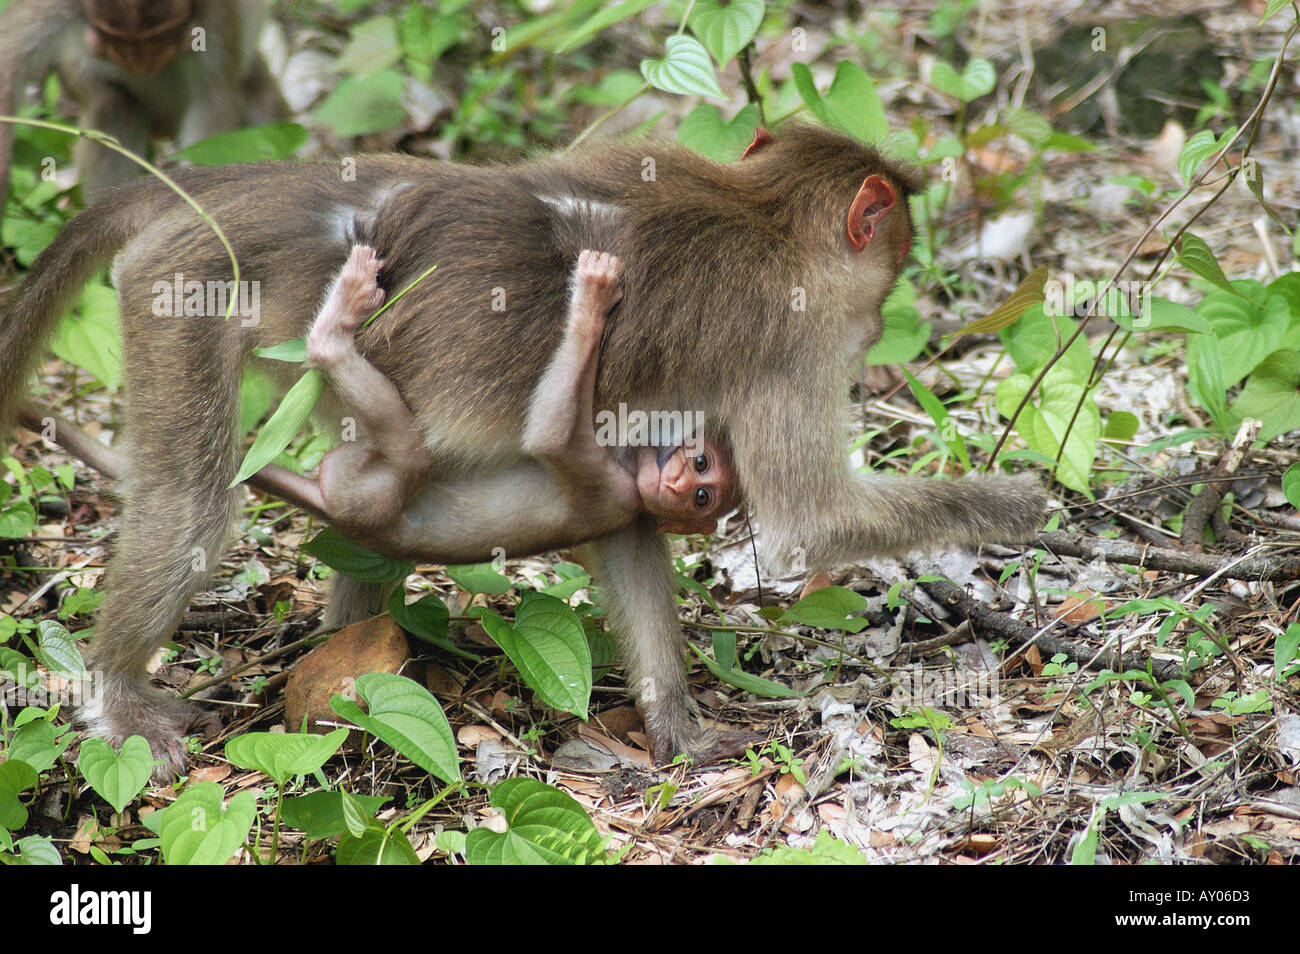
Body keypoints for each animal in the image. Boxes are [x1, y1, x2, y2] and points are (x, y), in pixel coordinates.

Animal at [0, 0, 283, 215]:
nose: (139, 63)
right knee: (114, 105)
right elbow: (10, 55)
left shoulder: (214, 14)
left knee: (263, 103)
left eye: (157, 37)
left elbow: (213, 99)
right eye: (117, 39)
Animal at [0, 123, 1046, 775]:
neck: (763, 214)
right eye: (890, 273)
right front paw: (1013, 505)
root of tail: (274, 189)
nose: (881, 334)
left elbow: (628, 527)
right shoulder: (795, 340)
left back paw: (347, 665)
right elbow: (812, 522)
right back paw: (118, 696)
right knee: (193, 508)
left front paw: (673, 723)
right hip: (181, 284)